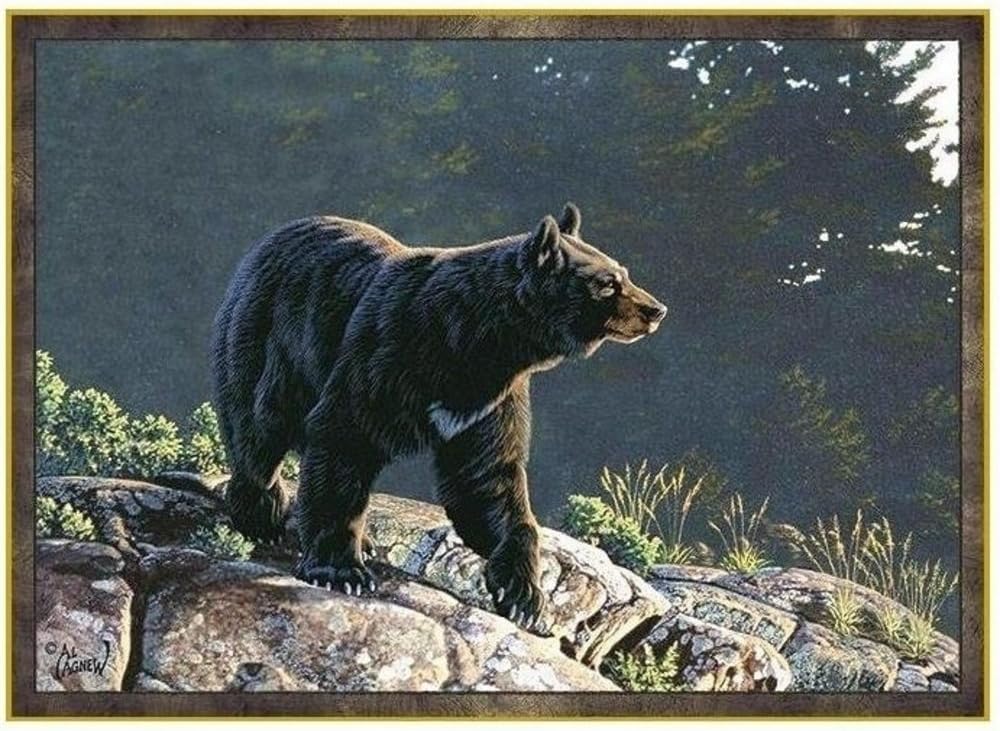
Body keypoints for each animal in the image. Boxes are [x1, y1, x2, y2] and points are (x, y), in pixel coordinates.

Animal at [210, 203, 667, 630]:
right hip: (266, 338)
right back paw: (261, 515)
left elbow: (488, 479)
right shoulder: (386, 355)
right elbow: (344, 436)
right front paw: (341, 571)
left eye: (623, 273)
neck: (476, 341)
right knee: (257, 429)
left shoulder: (491, 398)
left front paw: (525, 597)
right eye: (606, 284)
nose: (656, 309)